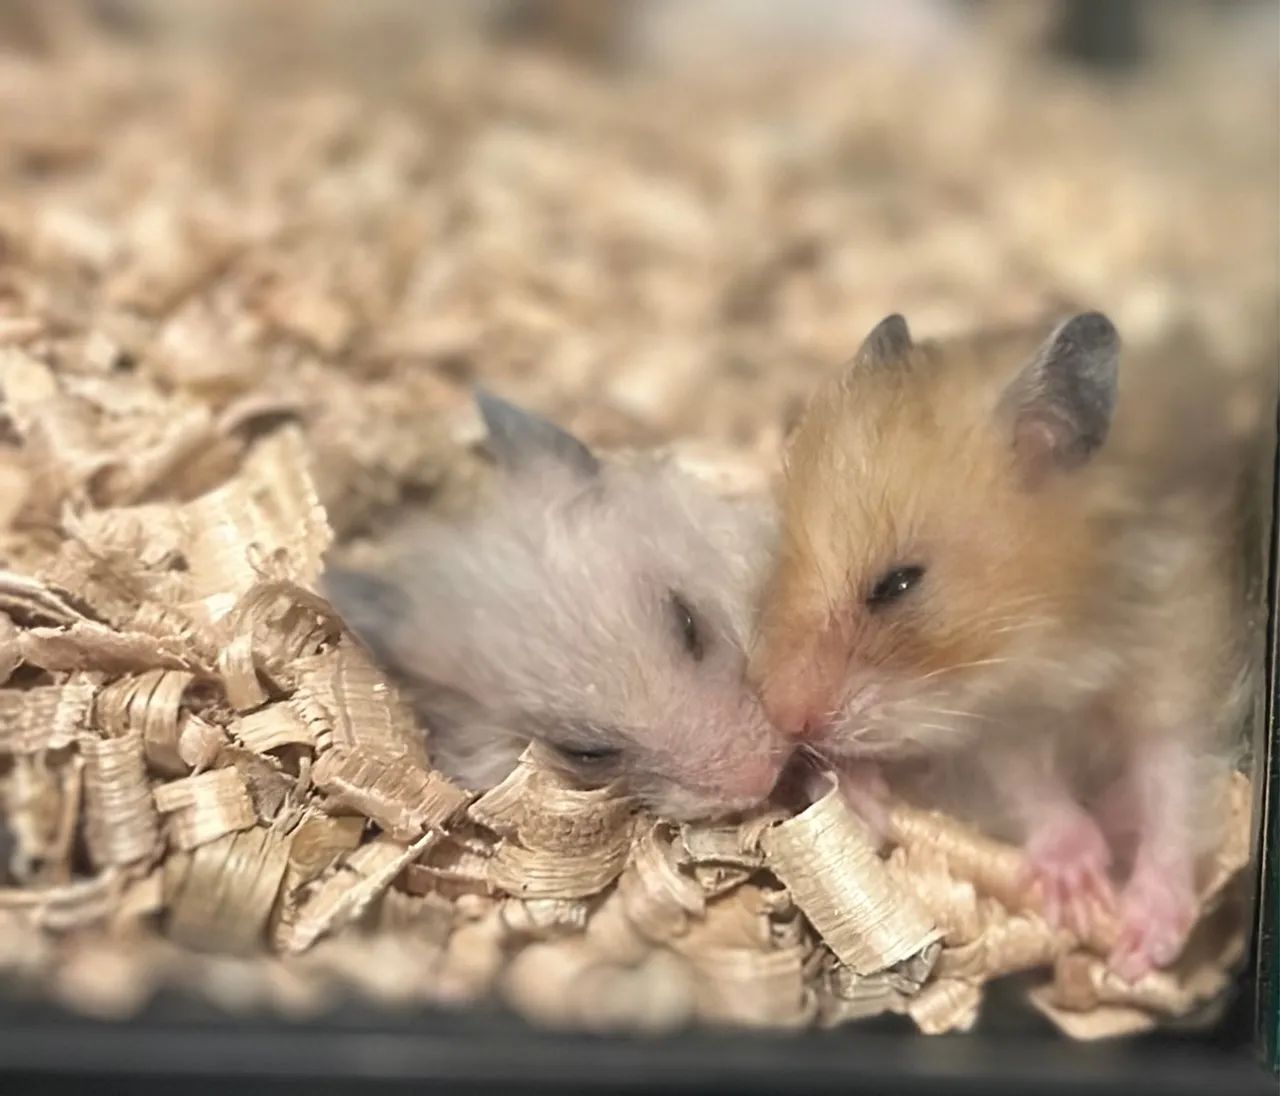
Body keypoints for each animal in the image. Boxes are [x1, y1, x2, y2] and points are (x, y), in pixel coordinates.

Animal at [749, 311, 1267, 980]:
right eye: (778, 559)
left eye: (897, 584)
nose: (779, 716)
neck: (1056, 646)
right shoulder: (991, 726)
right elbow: (1026, 783)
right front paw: (1075, 887)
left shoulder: (1181, 658)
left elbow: (1173, 789)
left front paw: (1140, 948)